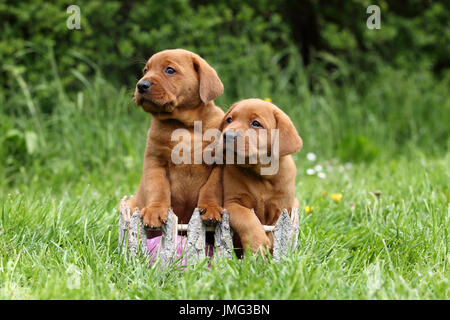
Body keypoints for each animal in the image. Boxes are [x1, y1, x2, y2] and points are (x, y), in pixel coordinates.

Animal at [127, 48, 224, 228]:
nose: (141, 85)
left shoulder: (219, 163)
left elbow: (211, 188)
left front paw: (211, 208)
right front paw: (155, 211)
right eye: (145, 70)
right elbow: (158, 189)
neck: (185, 125)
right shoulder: (155, 161)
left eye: (169, 70)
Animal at [221, 99, 302, 254]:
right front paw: (257, 243)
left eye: (256, 123)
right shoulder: (231, 203)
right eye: (229, 120)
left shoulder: (282, 208)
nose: (227, 135)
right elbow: (246, 217)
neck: (260, 174)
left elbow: (274, 231)